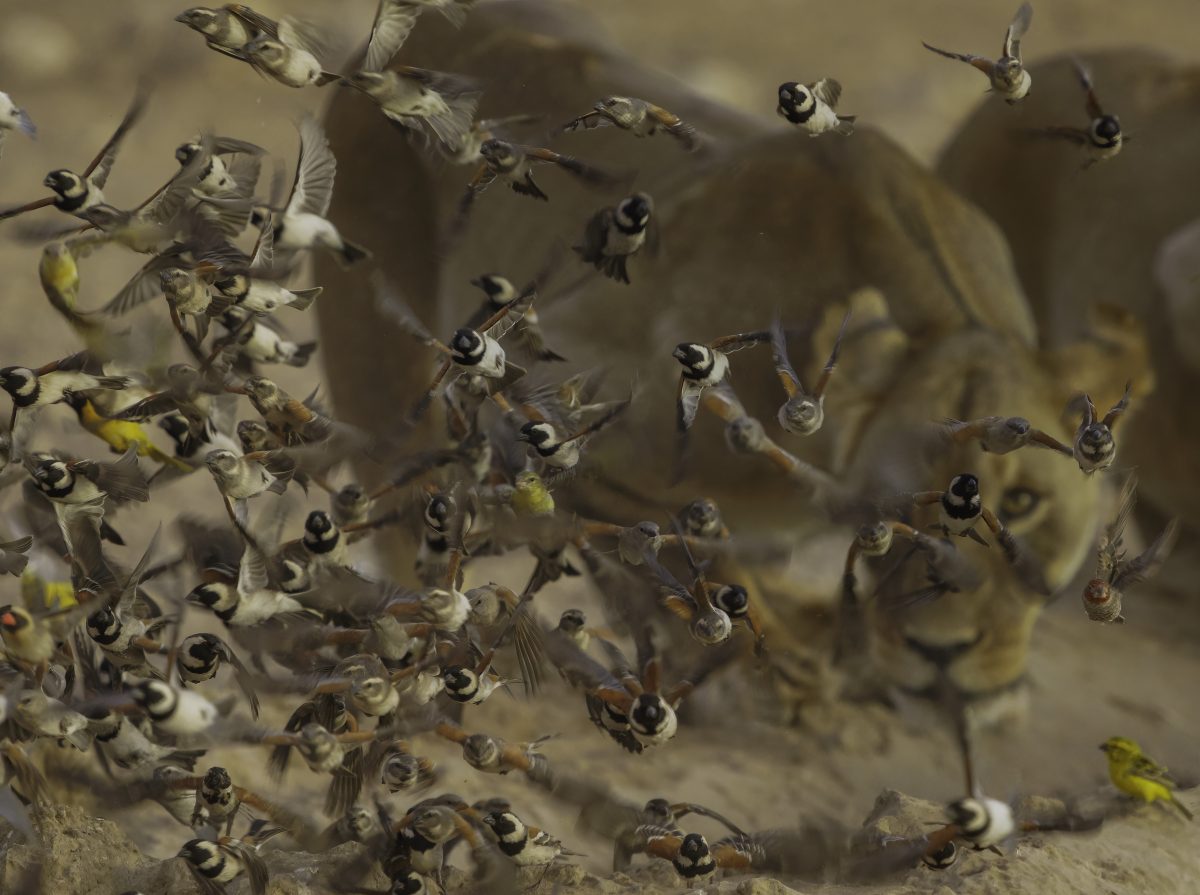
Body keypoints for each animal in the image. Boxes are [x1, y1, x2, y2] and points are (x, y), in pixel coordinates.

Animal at [313, 1, 1148, 721]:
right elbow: (696, 556)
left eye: (1023, 502)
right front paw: (786, 661)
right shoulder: (572, 403)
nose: (939, 654)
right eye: (896, 510)